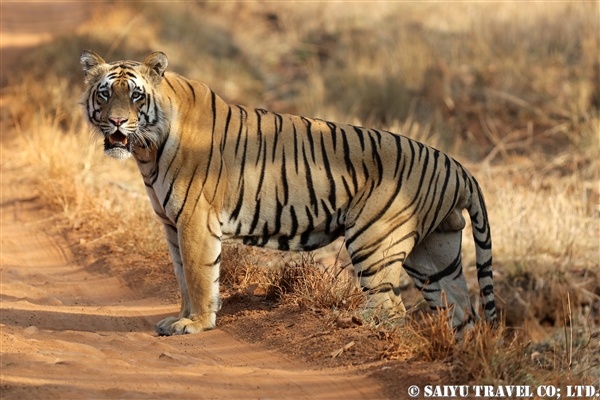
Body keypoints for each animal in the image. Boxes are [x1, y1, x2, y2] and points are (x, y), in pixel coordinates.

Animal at [79, 50, 494, 338]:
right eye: (105, 94)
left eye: (135, 96)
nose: (116, 122)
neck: (146, 151)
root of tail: (458, 167)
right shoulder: (170, 223)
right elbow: (182, 276)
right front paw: (181, 318)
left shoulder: (195, 221)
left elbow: (198, 275)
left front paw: (194, 324)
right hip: (434, 257)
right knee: (463, 311)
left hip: (375, 242)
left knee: (392, 306)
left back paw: (354, 323)